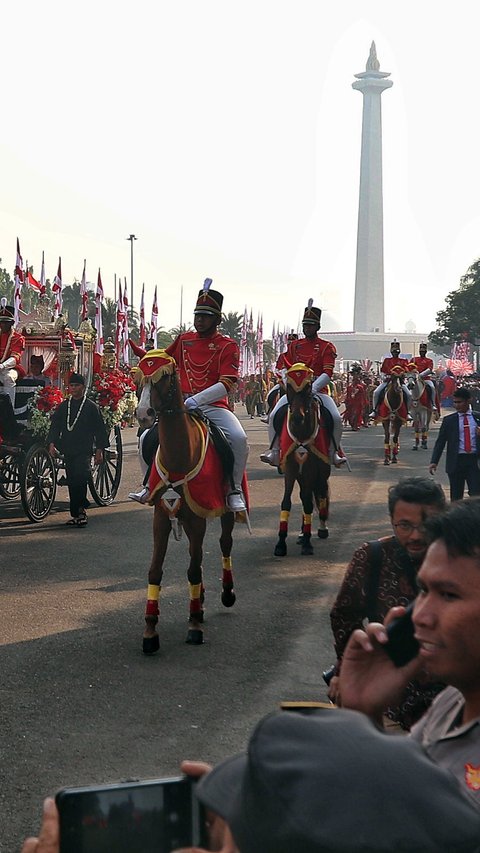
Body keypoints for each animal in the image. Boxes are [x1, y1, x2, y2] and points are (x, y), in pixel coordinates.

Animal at [135, 352, 238, 652]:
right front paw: (150, 630)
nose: (143, 414)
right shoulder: (160, 518)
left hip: (223, 510)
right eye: (138, 376)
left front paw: (194, 626)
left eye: (165, 376)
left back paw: (225, 594)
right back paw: (200, 602)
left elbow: (193, 569)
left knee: (223, 544)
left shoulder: (197, 518)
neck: (180, 456)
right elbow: (155, 571)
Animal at [274, 362, 330, 556]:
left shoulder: (311, 470)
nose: (298, 417)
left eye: (308, 387)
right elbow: (286, 502)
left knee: (320, 494)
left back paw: (321, 528)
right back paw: (301, 532)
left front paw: (307, 542)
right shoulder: (291, 469)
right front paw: (281, 543)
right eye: (289, 387)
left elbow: (308, 503)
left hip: (321, 472)